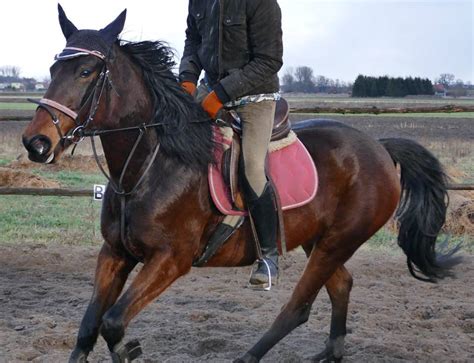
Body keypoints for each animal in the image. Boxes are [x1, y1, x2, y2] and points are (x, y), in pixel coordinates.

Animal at [21, 6, 460, 363]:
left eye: (86, 72)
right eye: (53, 70)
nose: (36, 143)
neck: (149, 165)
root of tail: (380, 147)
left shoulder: (171, 259)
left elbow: (112, 323)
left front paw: (130, 349)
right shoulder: (114, 253)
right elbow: (88, 327)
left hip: (337, 241)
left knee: (298, 307)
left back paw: (251, 354)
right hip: (318, 240)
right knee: (341, 286)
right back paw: (331, 352)